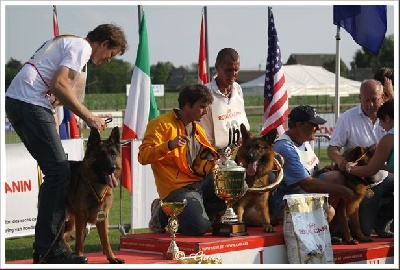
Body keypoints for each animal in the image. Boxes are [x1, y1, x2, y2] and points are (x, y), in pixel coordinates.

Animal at [62, 127, 124, 264]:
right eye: (101, 155)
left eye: (113, 154)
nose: (112, 168)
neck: (96, 186)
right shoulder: (81, 218)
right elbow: (79, 241)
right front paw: (79, 256)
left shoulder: (103, 218)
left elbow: (105, 241)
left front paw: (112, 258)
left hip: (70, 222)